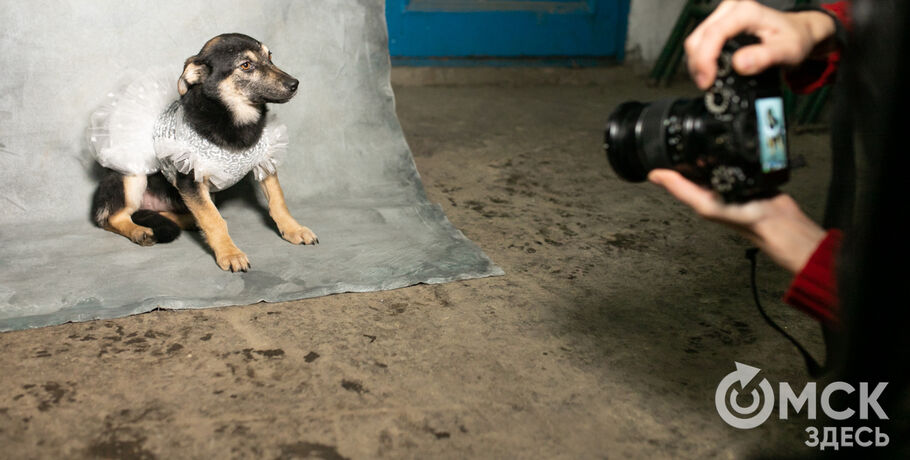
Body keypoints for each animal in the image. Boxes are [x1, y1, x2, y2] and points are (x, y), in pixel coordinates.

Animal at [89, 34, 318, 272]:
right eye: (246, 65)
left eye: (270, 56)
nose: (294, 84)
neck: (234, 119)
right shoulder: (190, 177)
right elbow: (213, 220)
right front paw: (230, 253)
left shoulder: (265, 162)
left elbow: (278, 201)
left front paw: (294, 229)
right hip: (132, 177)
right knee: (113, 218)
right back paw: (139, 231)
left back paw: (188, 221)